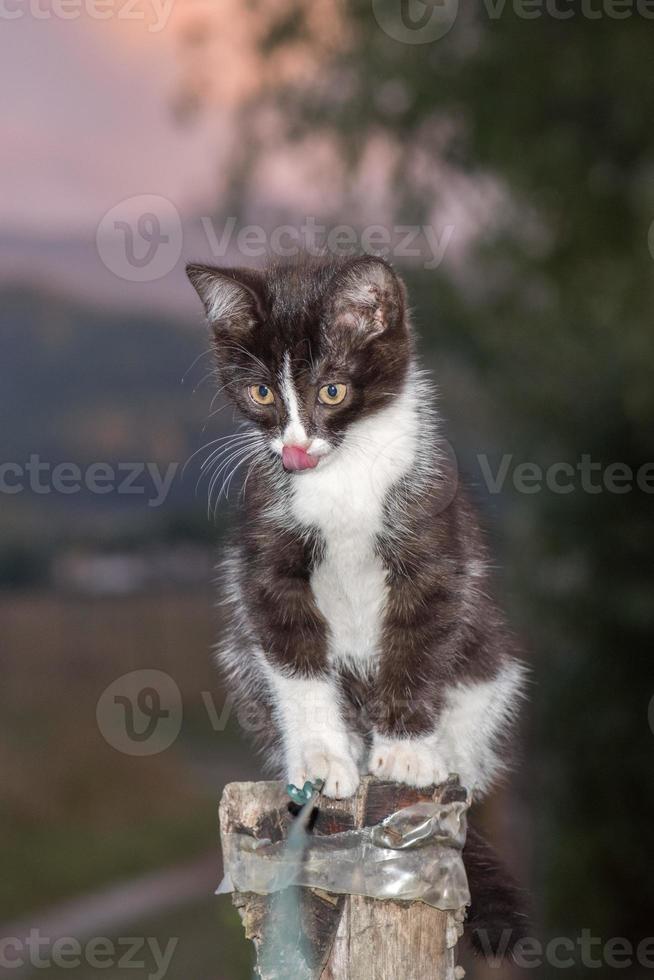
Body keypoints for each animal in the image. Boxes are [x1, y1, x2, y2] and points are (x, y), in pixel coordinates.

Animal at [187, 255, 524, 804]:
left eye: (332, 390)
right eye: (261, 392)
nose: (295, 449)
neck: (340, 476)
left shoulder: (433, 540)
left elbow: (417, 645)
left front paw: (407, 753)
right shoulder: (266, 559)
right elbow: (295, 662)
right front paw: (320, 761)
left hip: (490, 663)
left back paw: (448, 761)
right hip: (241, 659)